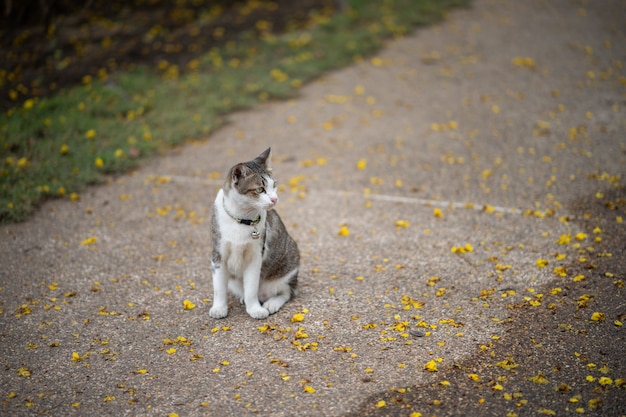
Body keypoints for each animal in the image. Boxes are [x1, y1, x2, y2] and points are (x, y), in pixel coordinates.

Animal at [208, 146, 298, 318]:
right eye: (260, 189)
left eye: (274, 185)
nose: (275, 199)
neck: (242, 218)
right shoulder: (218, 254)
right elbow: (219, 287)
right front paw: (219, 308)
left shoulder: (256, 255)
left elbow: (251, 287)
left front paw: (255, 309)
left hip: (287, 267)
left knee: (286, 292)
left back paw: (271, 303)